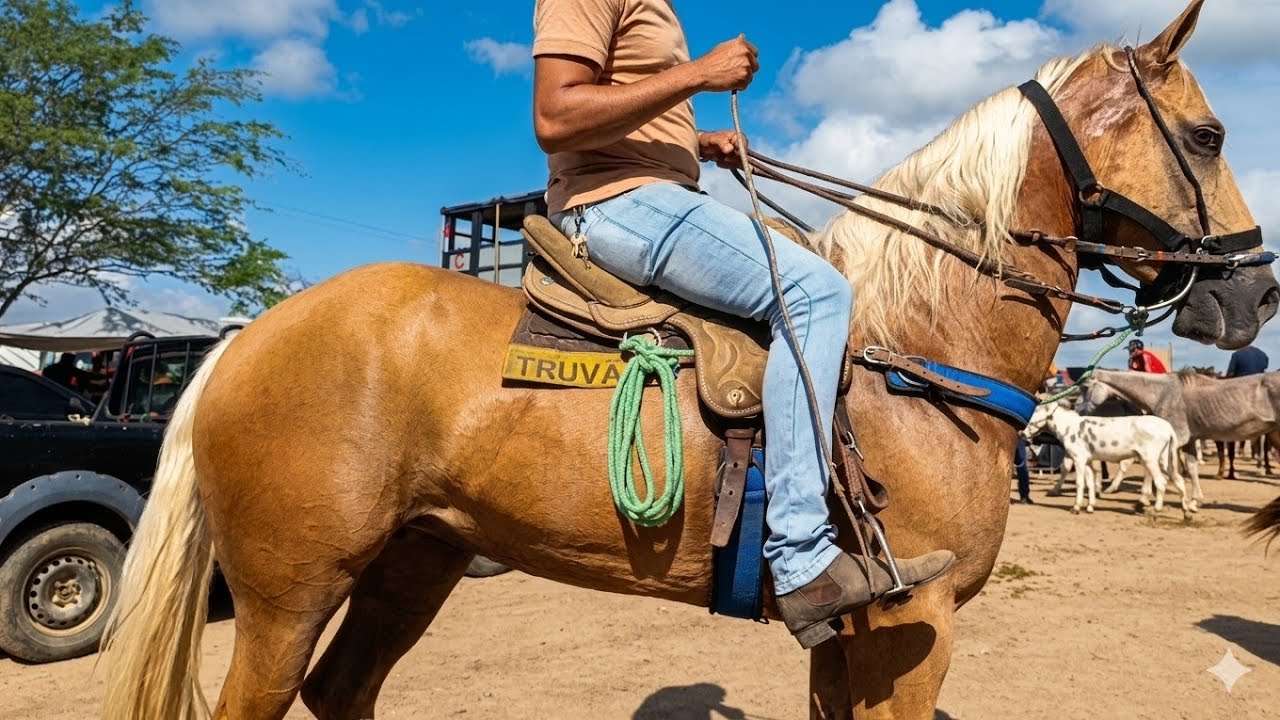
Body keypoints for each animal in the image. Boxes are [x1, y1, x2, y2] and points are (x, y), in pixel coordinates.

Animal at [101, 3, 1280, 719]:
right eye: (1212, 136)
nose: (1254, 290)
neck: (919, 357)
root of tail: (247, 339)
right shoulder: (915, 624)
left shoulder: (849, 639)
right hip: (289, 590)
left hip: (413, 561)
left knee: (347, 689)